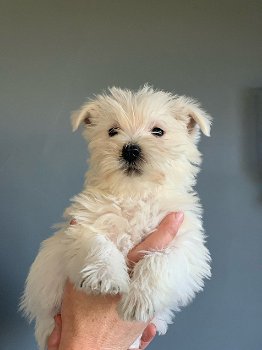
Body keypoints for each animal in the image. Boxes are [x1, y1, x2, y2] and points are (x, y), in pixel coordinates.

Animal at [21, 85, 212, 350]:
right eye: (112, 131)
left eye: (158, 131)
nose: (130, 149)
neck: (133, 193)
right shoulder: (81, 225)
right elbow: (97, 242)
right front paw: (105, 277)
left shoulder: (187, 244)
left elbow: (160, 260)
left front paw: (140, 299)